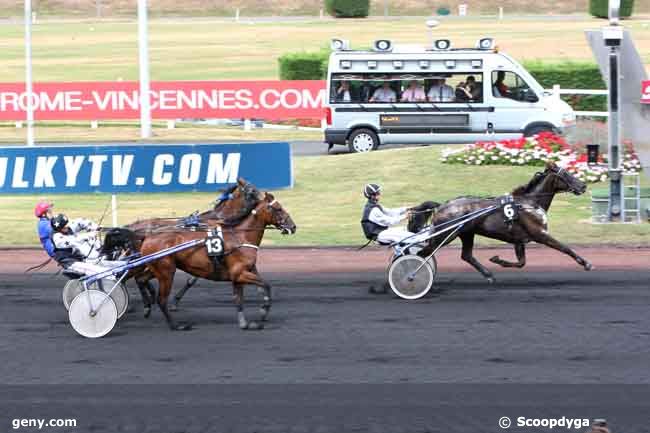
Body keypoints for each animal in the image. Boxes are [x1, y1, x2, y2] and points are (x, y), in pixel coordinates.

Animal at [139, 192, 296, 330]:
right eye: (278, 208)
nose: (293, 226)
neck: (241, 237)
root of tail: (148, 237)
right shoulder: (240, 273)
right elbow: (267, 286)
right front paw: (262, 312)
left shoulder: (238, 276)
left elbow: (239, 299)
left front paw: (244, 324)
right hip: (166, 272)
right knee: (161, 299)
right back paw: (176, 325)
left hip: (158, 269)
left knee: (141, 280)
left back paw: (147, 307)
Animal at [412, 160, 588, 282]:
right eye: (565, 174)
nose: (584, 185)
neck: (529, 203)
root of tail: (442, 206)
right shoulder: (540, 234)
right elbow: (565, 248)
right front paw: (586, 263)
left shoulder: (519, 240)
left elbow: (521, 263)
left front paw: (497, 260)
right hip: (446, 235)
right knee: (423, 253)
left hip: (467, 233)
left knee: (466, 256)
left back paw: (489, 275)